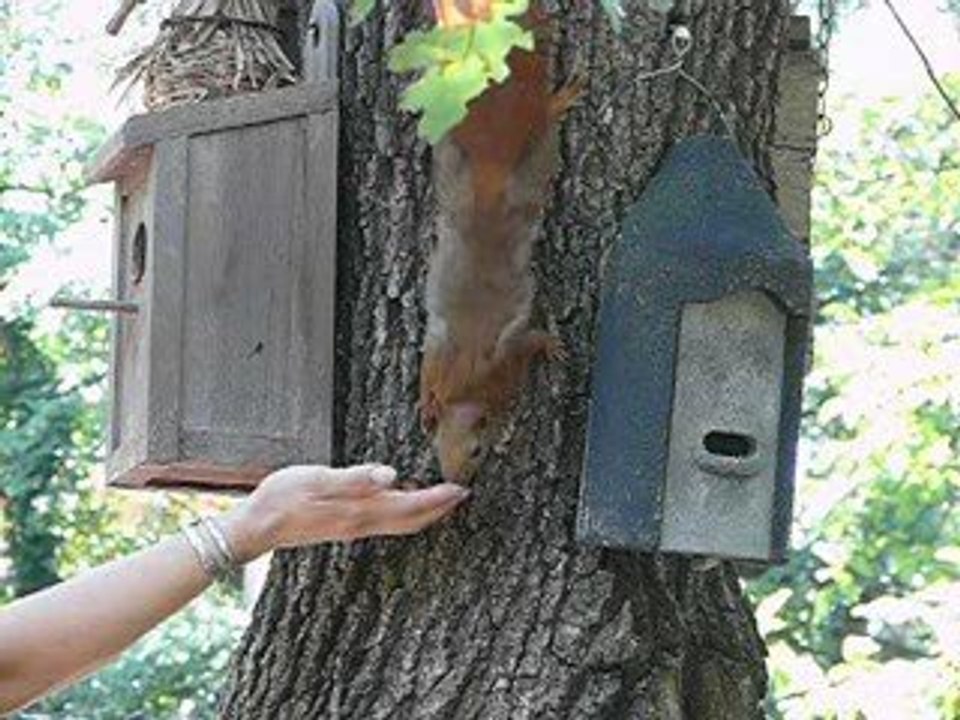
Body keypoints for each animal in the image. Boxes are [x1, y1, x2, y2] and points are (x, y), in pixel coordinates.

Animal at [419, 11, 578, 483]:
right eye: (438, 450)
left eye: (475, 451)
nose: (455, 481)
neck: (467, 387)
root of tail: (490, 178)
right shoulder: (445, 357)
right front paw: (425, 407)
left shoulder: (506, 365)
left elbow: (526, 342)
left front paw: (550, 345)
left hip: (516, 164)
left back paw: (557, 102)